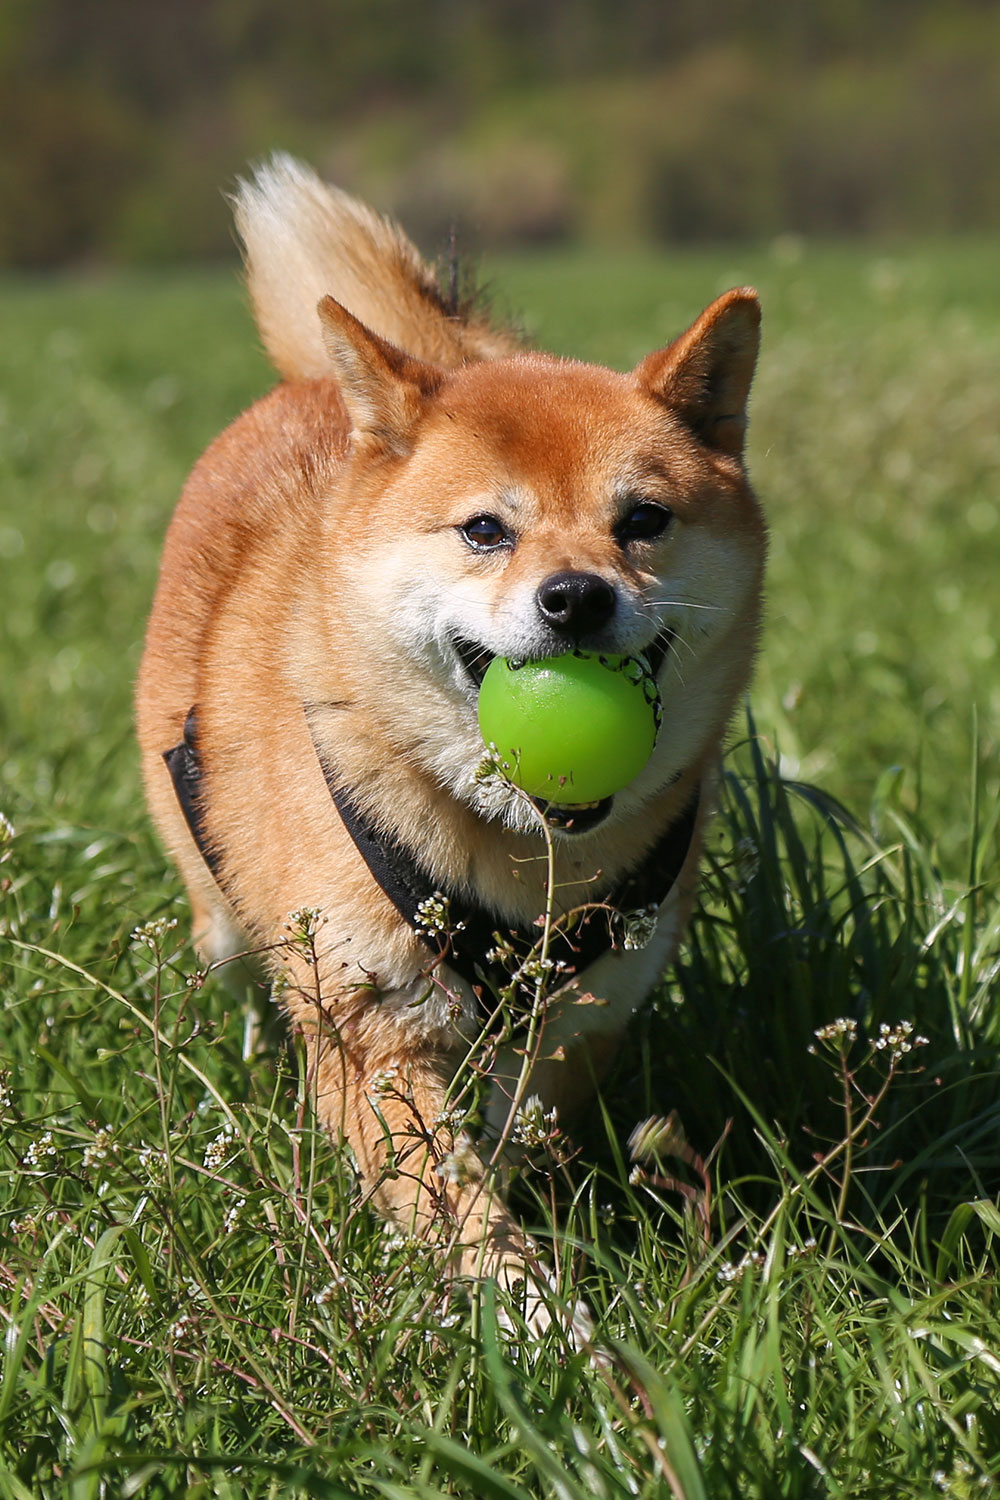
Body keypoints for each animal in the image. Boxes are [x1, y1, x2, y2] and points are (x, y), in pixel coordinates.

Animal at [137, 158, 767, 1344]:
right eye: (485, 530)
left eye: (642, 521)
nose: (576, 597)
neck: (522, 858)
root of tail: (319, 390)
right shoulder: (372, 1034)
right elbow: (458, 1205)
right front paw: (540, 1332)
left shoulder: (581, 1022)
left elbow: (515, 1144)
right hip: (219, 911)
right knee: (229, 957)